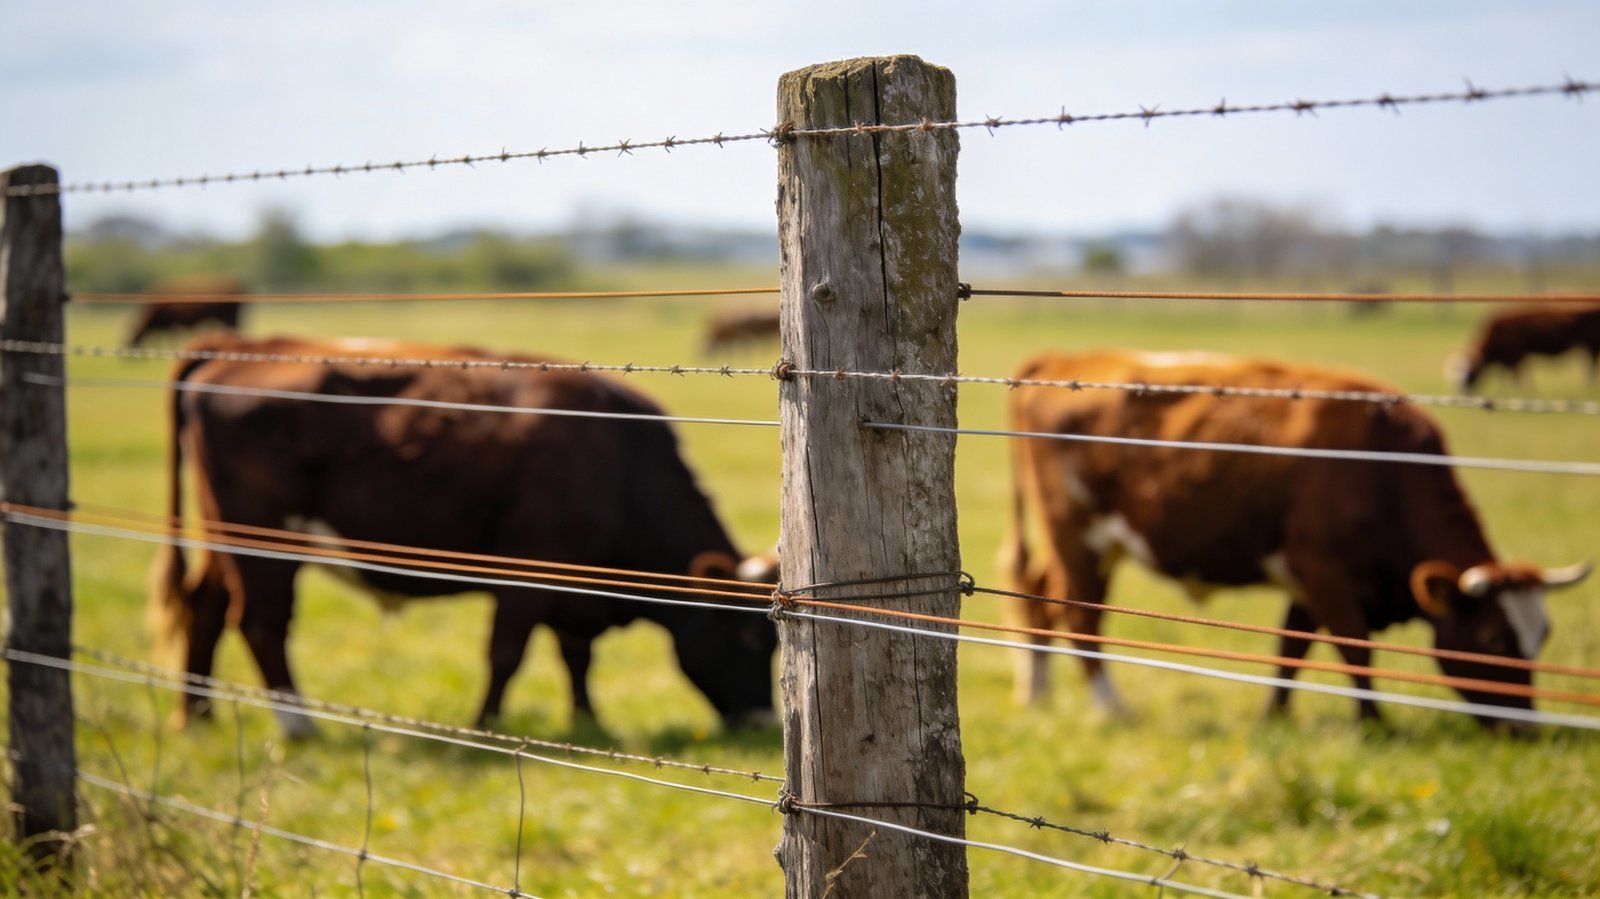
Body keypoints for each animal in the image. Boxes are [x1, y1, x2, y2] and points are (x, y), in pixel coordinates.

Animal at [150, 334, 777, 738]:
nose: (762, 723)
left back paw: (197, 717)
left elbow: (576, 655)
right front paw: (485, 726)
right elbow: (506, 654)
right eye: (749, 638)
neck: (620, 464)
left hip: (224, 540)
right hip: (263, 541)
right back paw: (297, 724)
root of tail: (235, 347)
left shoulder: (575, 588)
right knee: (261, 622)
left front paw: (588, 720)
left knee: (205, 608)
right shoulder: (530, 572)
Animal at [1000, 349, 1592, 728]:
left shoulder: (1306, 581)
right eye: (1494, 638)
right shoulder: (1324, 573)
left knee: (1041, 597)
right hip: (1078, 536)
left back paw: (1036, 693)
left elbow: (1292, 649)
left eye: (1541, 637)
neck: (1381, 466)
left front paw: (1275, 720)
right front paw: (1374, 725)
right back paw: (1111, 709)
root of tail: (1059, 359)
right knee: (1079, 615)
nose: (1524, 730)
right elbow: (1354, 648)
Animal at [1447, 305, 1600, 391]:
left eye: (1470, 372)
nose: (1462, 390)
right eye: (1456, 372)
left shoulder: (1515, 355)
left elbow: (1515, 374)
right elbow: (1510, 374)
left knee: (1591, 366)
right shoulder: (1515, 356)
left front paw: (1520, 390)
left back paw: (1589, 387)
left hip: (1591, 344)